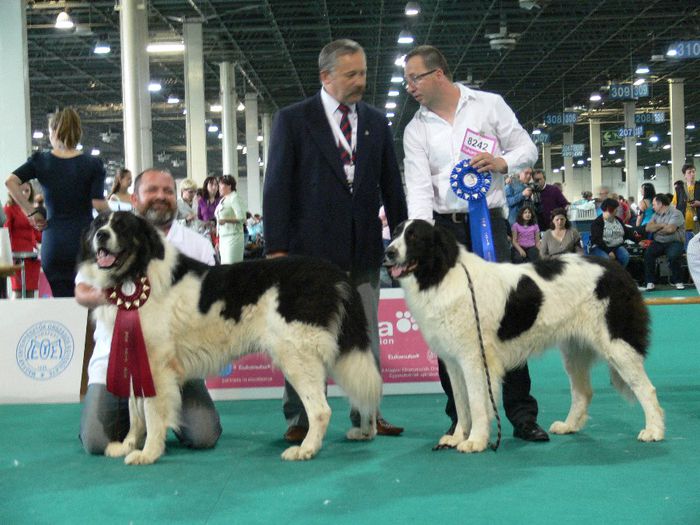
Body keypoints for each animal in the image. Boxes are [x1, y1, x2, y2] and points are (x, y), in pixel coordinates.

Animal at [78, 211, 380, 464]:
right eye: (99, 223)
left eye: (122, 227)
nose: (101, 235)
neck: (135, 274)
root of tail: (332, 273)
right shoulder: (136, 357)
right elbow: (135, 412)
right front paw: (128, 445)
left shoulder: (156, 366)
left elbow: (151, 414)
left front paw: (148, 453)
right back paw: (362, 432)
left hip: (296, 354)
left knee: (320, 409)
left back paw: (306, 449)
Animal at [386, 219, 664, 452]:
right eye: (395, 233)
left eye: (413, 237)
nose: (388, 252)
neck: (442, 275)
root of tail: (616, 268)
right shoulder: (453, 362)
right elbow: (461, 403)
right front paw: (456, 437)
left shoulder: (474, 359)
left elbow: (476, 403)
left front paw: (475, 440)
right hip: (574, 350)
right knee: (583, 391)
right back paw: (568, 425)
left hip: (617, 345)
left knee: (646, 388)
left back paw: (654, 431)